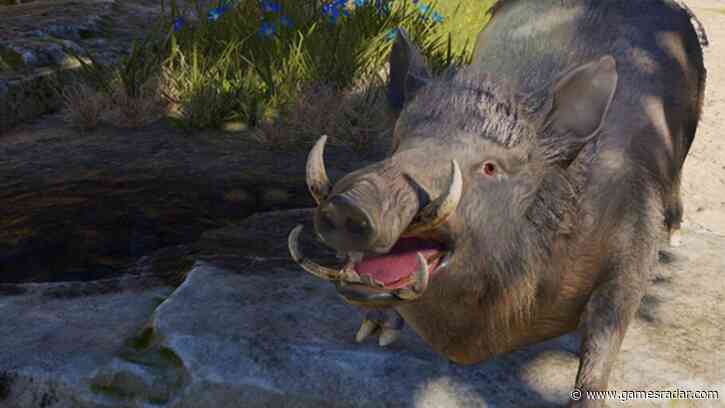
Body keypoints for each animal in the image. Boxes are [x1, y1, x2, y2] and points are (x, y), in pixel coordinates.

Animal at [288, 0, 707, 406]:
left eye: (490, 167)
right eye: (399, 143)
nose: (349, 204)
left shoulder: (635, 241)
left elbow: (605, 336)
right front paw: (372, 336)